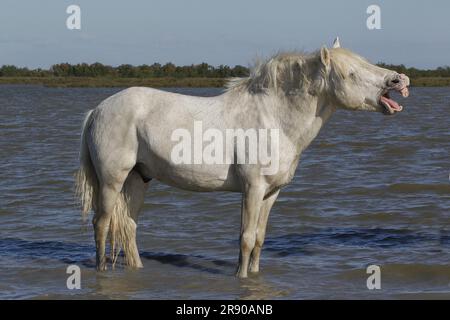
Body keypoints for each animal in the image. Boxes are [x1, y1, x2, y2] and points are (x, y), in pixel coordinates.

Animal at [75, 38, 410, 278]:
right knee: (102, 222)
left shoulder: (272, 193)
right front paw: (241, 277)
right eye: (351, 73)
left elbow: (260, 237)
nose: (400, 81)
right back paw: (102, 270)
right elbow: (246, 237)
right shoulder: (253, 188)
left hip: (139, 178)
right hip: (112, 181)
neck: (274, 119)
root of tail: (97, 110)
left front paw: (255, 274)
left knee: (129, 226)